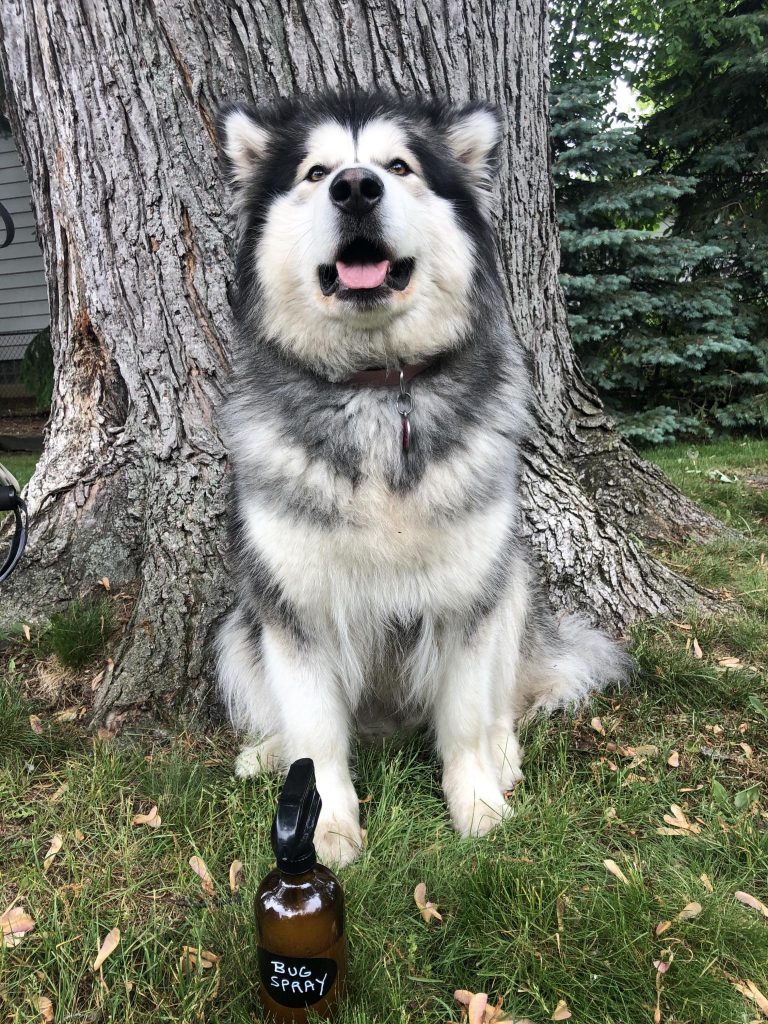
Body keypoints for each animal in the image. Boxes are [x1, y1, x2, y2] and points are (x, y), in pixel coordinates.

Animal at [214, 94, 626, 864]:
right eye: (315, 173)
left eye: (399, 167)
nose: (355, 187)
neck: (381, 392)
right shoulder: (295, 605)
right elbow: (317, 734)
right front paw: (325, 824)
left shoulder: (469, 596)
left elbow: (464, 718)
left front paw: (478, 805)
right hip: (237, 628)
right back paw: (267, 752)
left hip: (513, 582)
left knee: (501, 700)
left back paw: (503, 753)